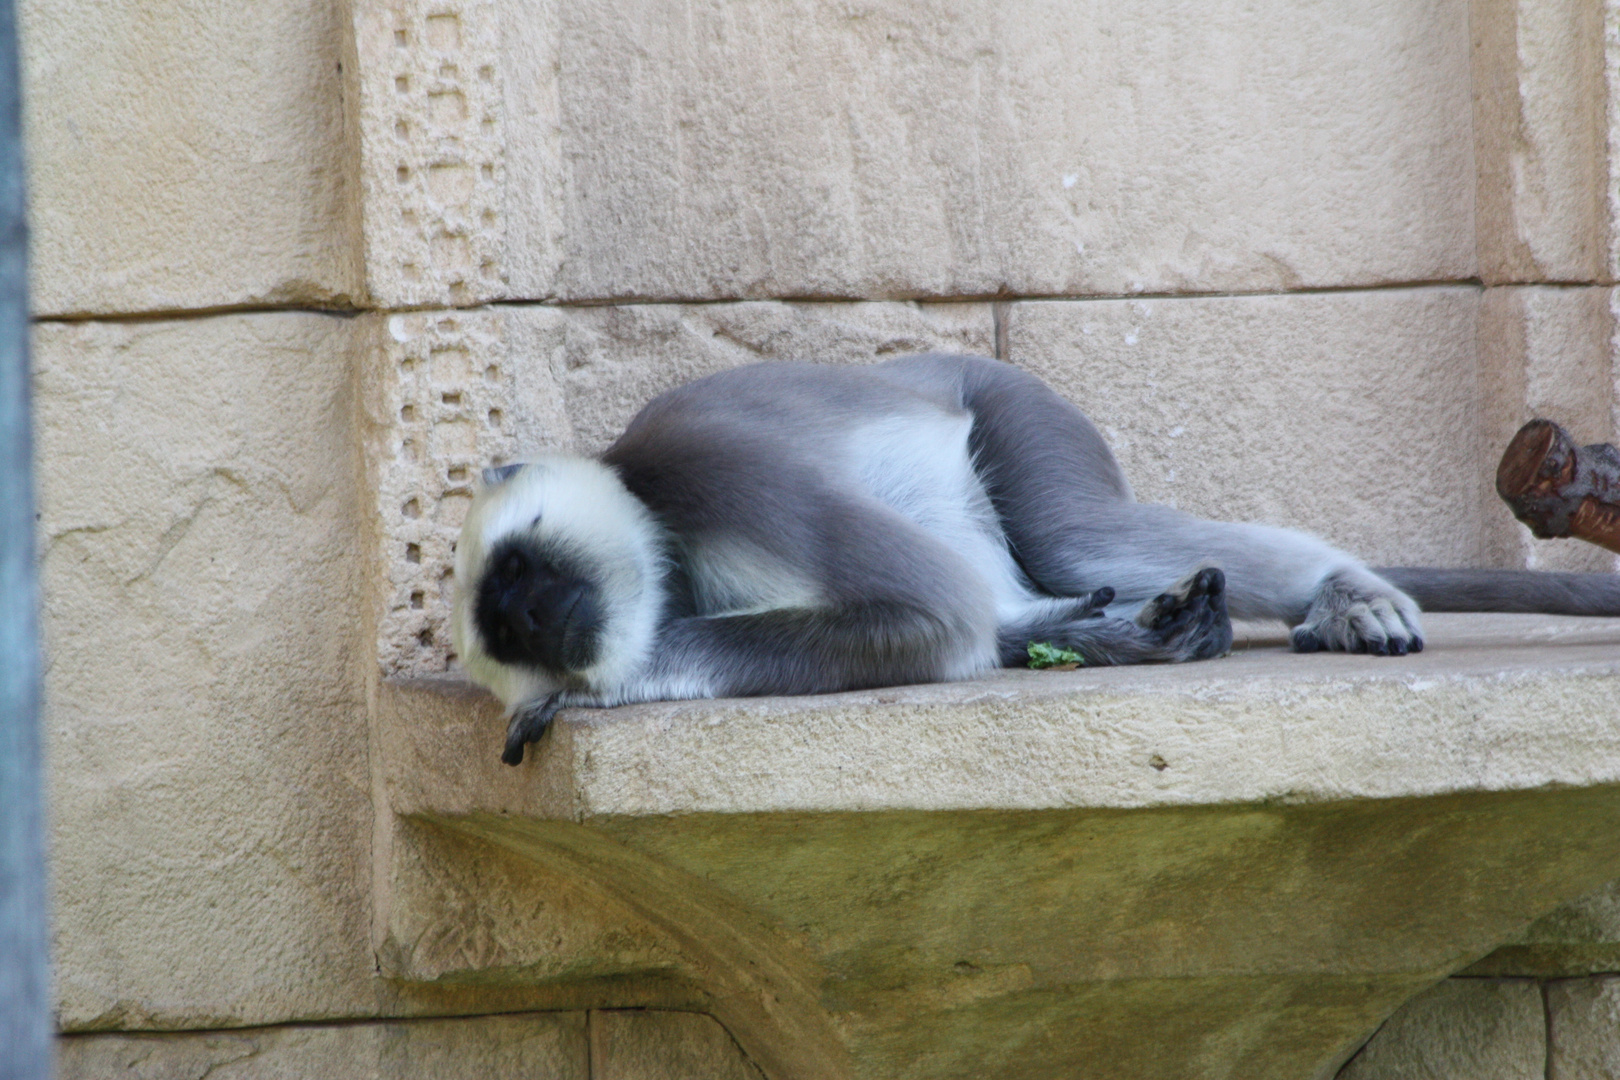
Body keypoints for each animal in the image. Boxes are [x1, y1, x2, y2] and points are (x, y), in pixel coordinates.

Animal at [450, 352, 1620, 761]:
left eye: (523, 582)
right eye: (509, 628)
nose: (542, 624)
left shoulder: (715, 475)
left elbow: (935, 613)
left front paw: (610, 685)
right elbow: (975, 626)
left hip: (1018, 407)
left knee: (1071, 535)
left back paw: (1344, 591)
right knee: (1045, 581)